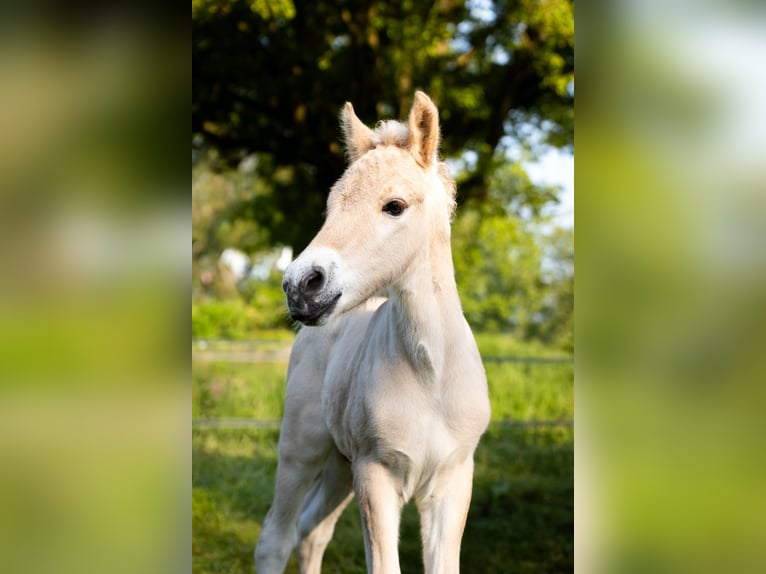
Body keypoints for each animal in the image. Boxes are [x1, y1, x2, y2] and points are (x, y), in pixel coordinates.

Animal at [258, 92, 492, 572]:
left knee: (312, 531)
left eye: (395, 205)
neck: (431, 375)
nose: (301, 285)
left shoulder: (453, 481)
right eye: (331, 206)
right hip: (302, 447)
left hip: (339, 465)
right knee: (277, 536)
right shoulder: (376, 474)